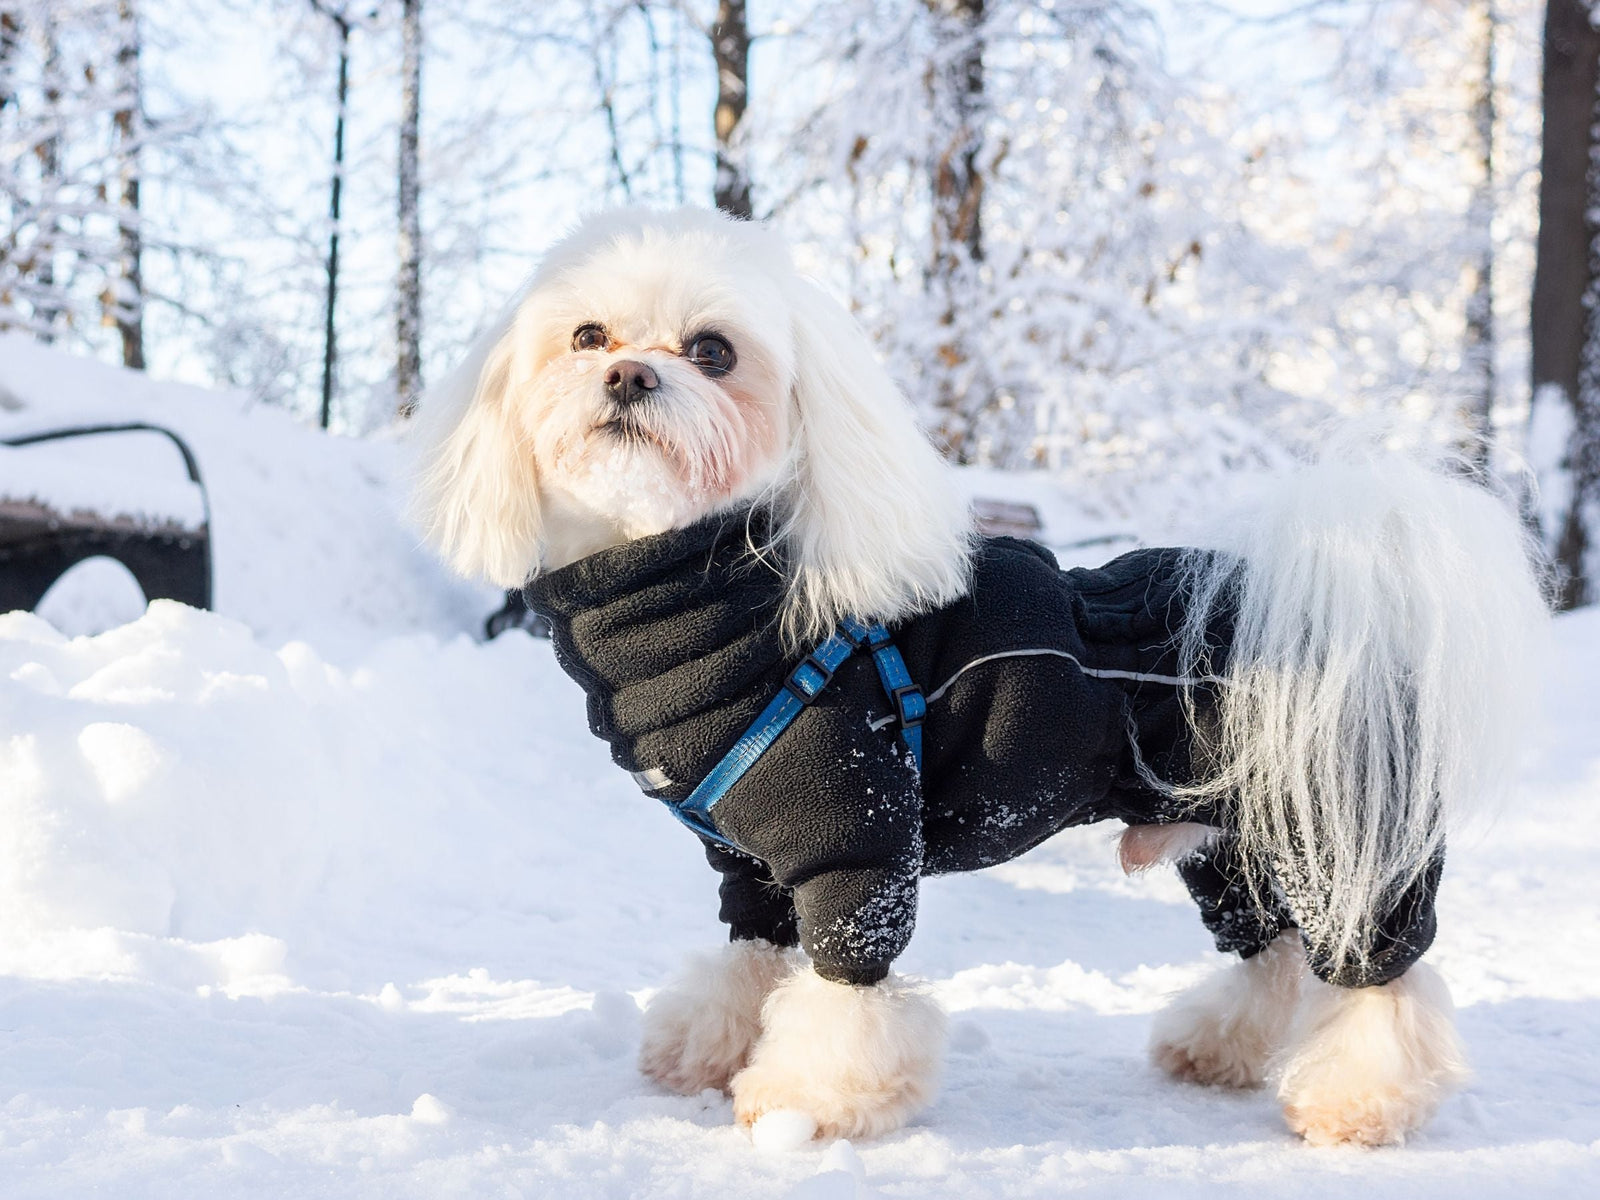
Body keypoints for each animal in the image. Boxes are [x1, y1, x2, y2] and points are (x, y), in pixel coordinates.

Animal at [412, 206, 1548, 1145]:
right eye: (587, 337)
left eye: (712, 351)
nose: (630, 378)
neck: (708, 589)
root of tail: (1339, 594)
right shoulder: (749, 865)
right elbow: (747, 960)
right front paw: (706, 1047)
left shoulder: (855, 845)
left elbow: (845, 991)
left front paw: (810, 1103)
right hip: (1233, 843)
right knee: (1266, 956)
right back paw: (1216, 1049)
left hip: (1345, 836)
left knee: (1380, 984)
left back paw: (1357, 1103)